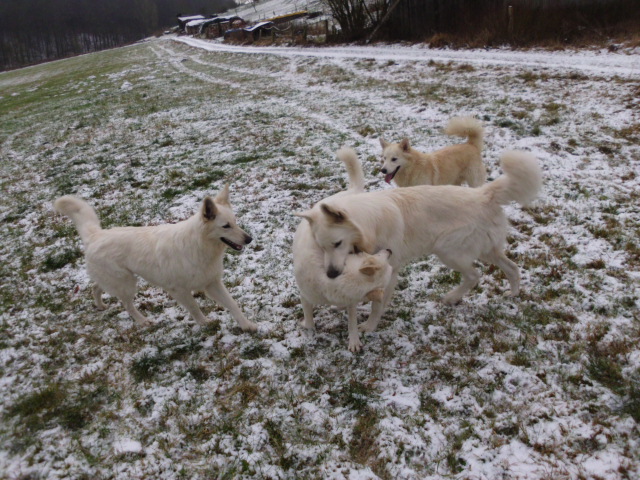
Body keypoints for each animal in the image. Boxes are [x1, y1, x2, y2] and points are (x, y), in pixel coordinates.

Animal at [53, 185, 257, 331]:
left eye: (235, 222)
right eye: (226, 226)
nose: (249, 239)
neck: (199, 245)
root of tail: (96, 235)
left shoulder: (212, 283)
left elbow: (232, 304)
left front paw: (247, 325)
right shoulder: (179, 290)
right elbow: (194, 308)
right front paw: (204, 323)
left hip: (116, 281)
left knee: (96, 287)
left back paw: (100, 305)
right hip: (127, 284)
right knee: (126, 304)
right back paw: (143, 321)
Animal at [293, 148, 394, 352]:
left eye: (338, 244)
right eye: (321, 247)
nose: (389, 250)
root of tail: (351, 191)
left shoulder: (350, 302)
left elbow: (352, 321)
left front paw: (353, 340)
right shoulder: (305, 296)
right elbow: (309, 321)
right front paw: (308, 331)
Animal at [296, 150, 542, 335]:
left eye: (337, 244)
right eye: (322, 247)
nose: (331, 274)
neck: (370, 224)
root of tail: (484, 194)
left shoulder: (390, 269)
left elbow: (377, 305)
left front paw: (369, 326)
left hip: (447, 250)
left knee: (474, 275)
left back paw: (451, 298)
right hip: (486, 250)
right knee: (511, 267)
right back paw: (513, 293)